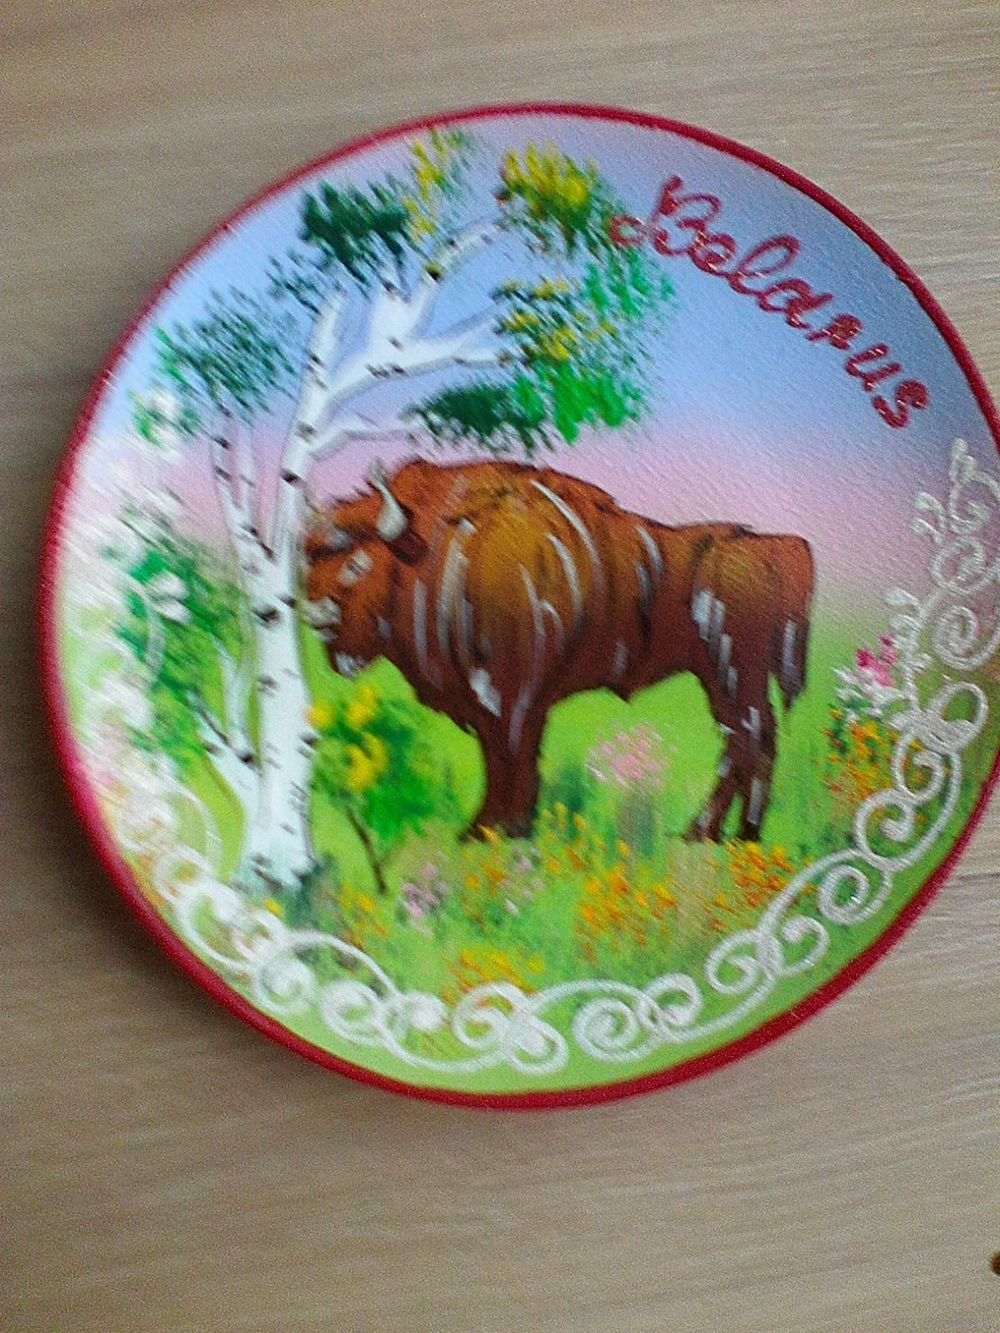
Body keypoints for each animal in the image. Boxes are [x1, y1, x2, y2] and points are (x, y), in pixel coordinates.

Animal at [303, 458, 814, 842]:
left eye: (358, 563)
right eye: (309, 562)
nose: (315, 615)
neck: (429, 546)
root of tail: (777, 548)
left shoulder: (511, 693)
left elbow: (511, 755)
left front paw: (499, 828)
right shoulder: (484, 698)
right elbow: (498, 757)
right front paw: (485, 827)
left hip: (734, 673)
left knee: (747, 739)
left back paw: (704, 832)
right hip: (721, 678)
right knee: (752, 741)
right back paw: (734, 834)